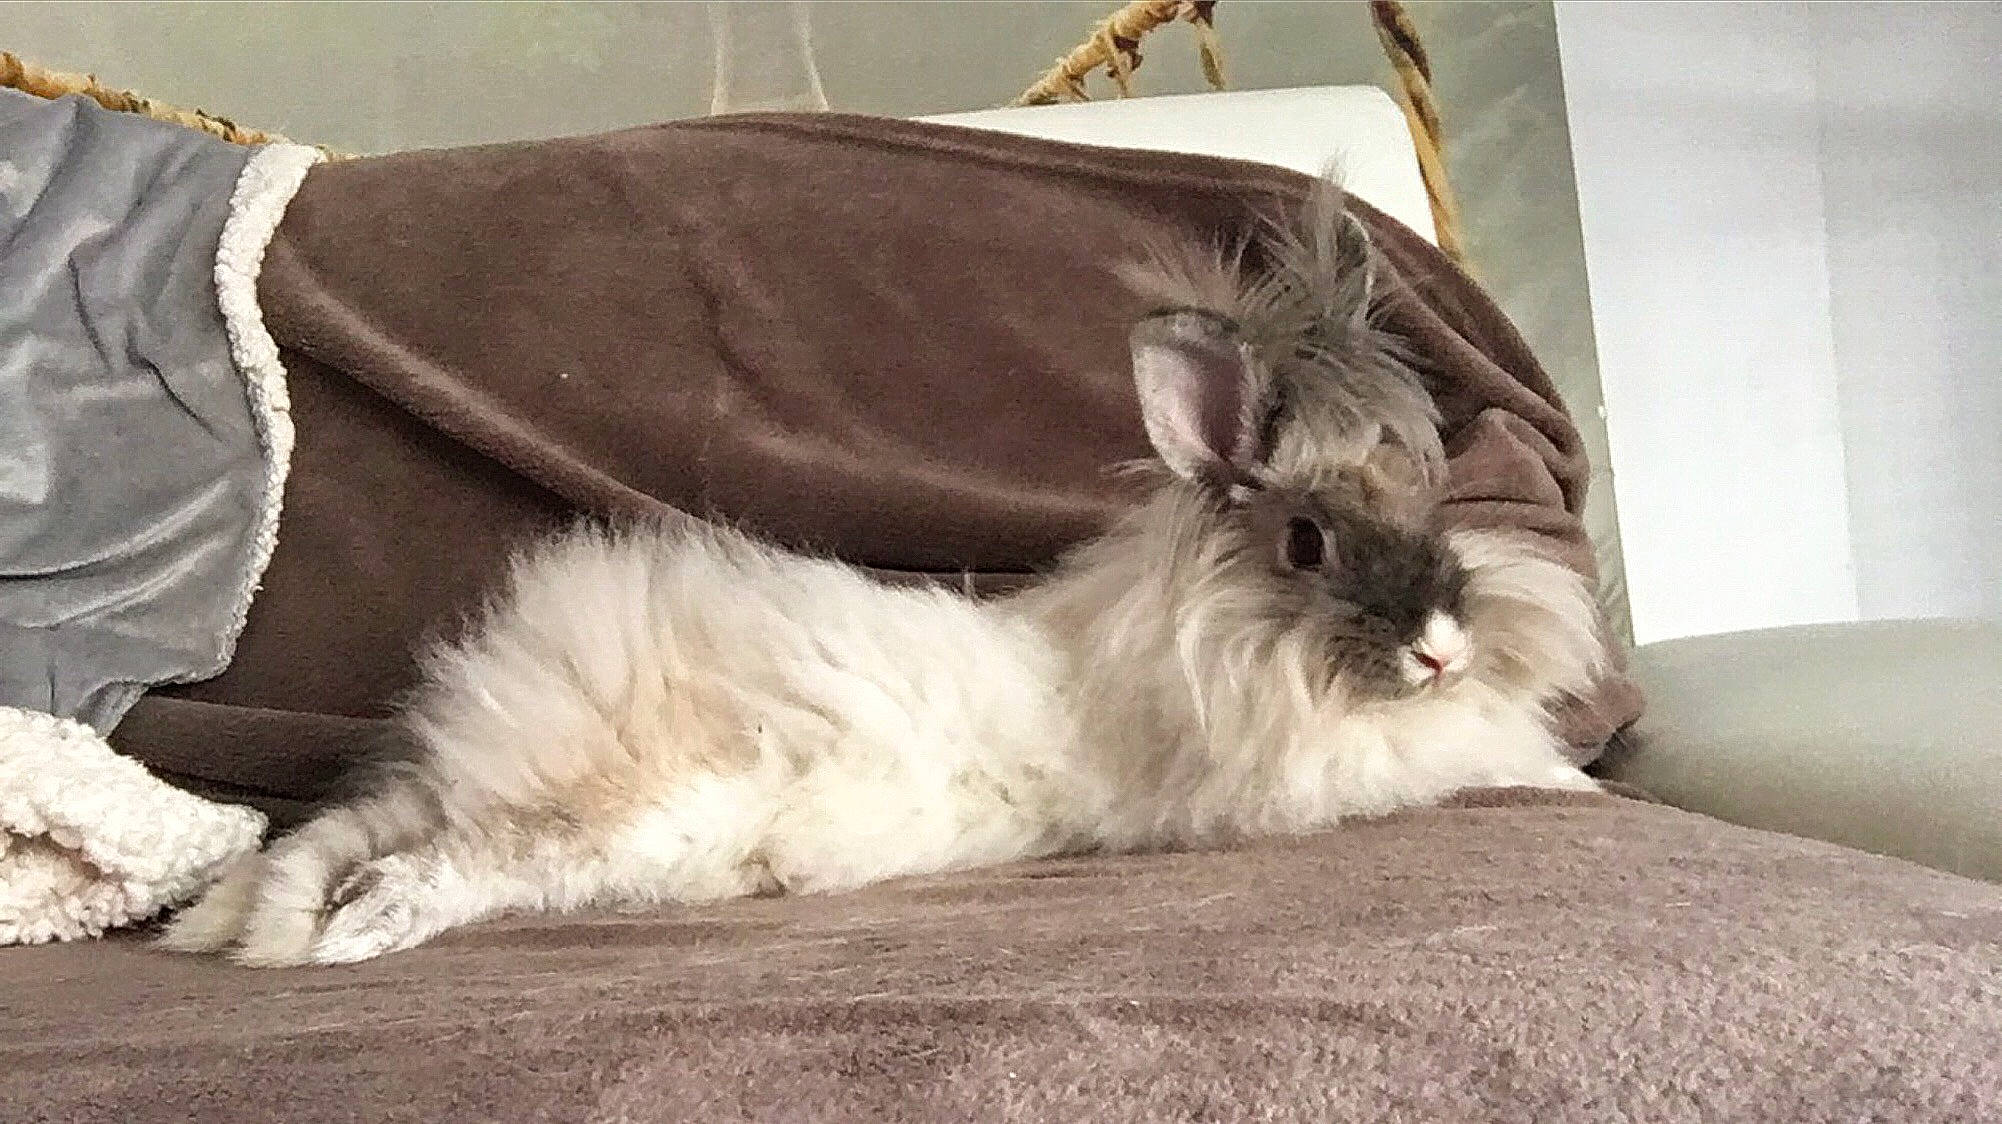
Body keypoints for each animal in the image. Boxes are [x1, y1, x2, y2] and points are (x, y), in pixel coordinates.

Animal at [161, 187, 1608, 967]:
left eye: (1422, 502)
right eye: (1305, 542)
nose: (1439, 644)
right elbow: (1466, 763)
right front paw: (1565, 784)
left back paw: (244, 918)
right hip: (625, 816)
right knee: (460, 862)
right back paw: (353, 936)